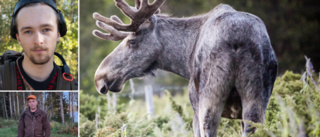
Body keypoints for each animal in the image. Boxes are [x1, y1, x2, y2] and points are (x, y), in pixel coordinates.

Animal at [92, 0, 278, 136]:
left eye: (131, 41)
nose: (99, 77)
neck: (185, 59)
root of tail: (238, 38)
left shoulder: (195, 109)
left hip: (209, 99)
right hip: (256, 99)